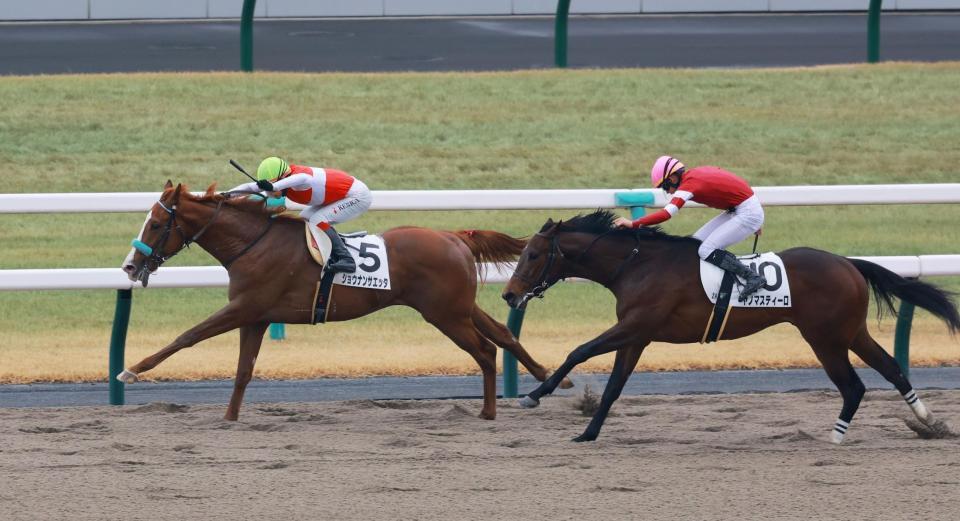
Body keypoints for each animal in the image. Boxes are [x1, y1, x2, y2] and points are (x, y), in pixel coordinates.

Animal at [119, 181, 569, 421]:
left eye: (156, 224)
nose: (130, 266)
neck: (253, 243)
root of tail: (455, 236)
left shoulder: (244, 308)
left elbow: (187, 336)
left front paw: (131, 371)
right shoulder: (256, 316)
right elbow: (244, 371)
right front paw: (229, 417)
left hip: (445, 315)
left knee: (486, 350)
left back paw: (489, 411)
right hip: (458, 307)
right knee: (503, 335)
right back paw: (547, 378)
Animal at [502, 210, 960, 443]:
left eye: (533, 254)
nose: (508, 294)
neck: (635, 264)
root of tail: (849, 263)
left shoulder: (635, 325)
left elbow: (578, 351)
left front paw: (535, 395)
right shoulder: (637, 335)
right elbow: (615, 385)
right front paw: (589, 432)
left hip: (825, 337)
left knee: (854, 385)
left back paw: (836, 435)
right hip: (851, 332)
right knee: (891, 368)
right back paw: (930, 421)